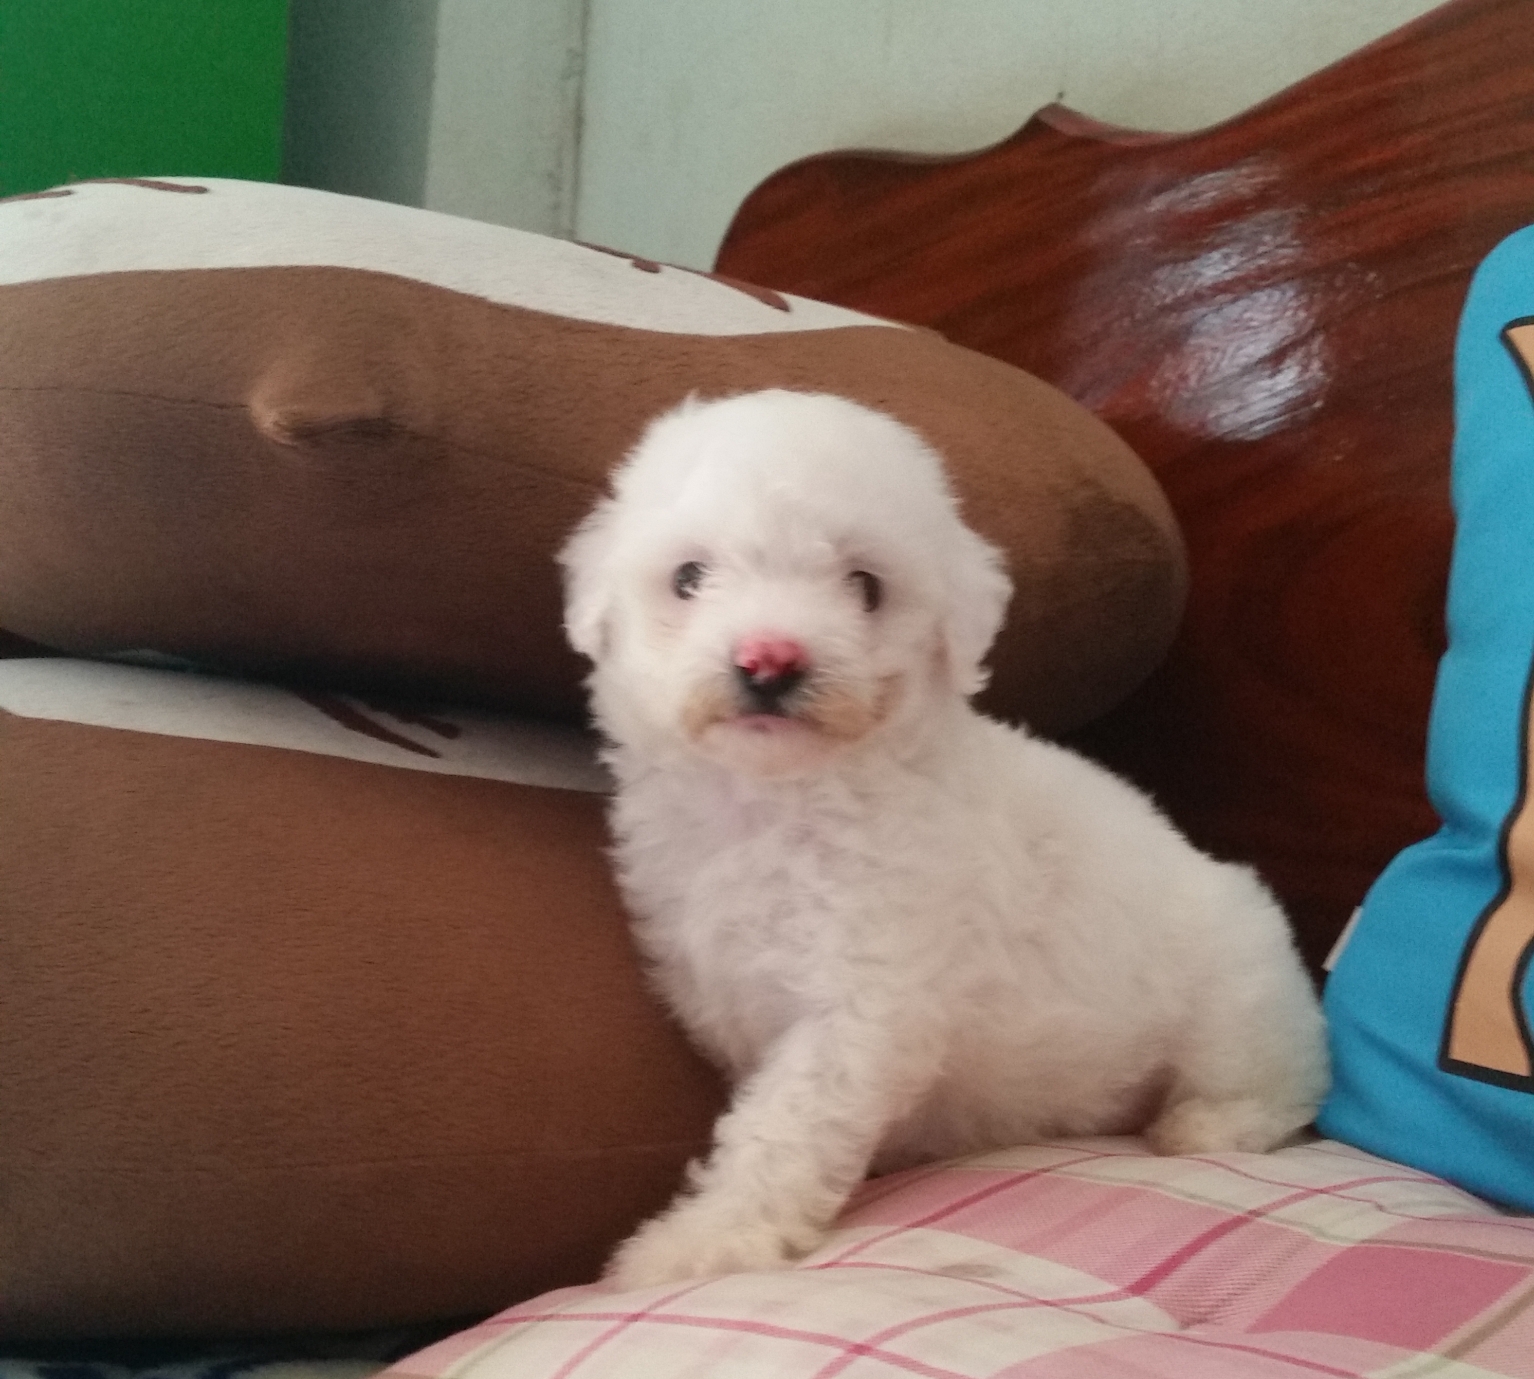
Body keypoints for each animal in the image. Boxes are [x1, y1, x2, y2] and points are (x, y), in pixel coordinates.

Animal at [558, 389, 1329, 1290]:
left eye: (865, 587)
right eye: (688, 577)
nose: (770, 659)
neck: (777, 798)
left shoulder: (866, 998)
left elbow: (784, 1124)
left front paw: (705, 1239)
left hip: (1238, 1008)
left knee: (1276, 1087)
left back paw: (1204, 1126)